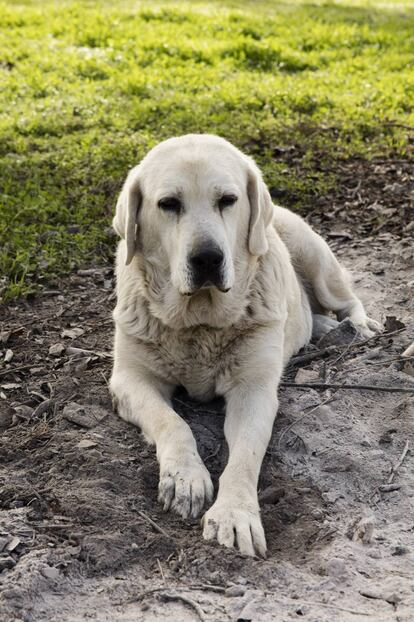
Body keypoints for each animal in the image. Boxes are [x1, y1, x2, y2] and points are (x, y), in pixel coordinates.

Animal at [109, 134, 378, 560]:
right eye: (168, 204)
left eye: (228, 200)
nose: (207, 258)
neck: (199, 321)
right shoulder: (129, 379)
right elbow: (172, 423)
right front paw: (185, 478)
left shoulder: (254, 391)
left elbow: (245, 457)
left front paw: (235, 515)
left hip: (312, 253)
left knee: (345, 297)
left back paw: (358, 327)